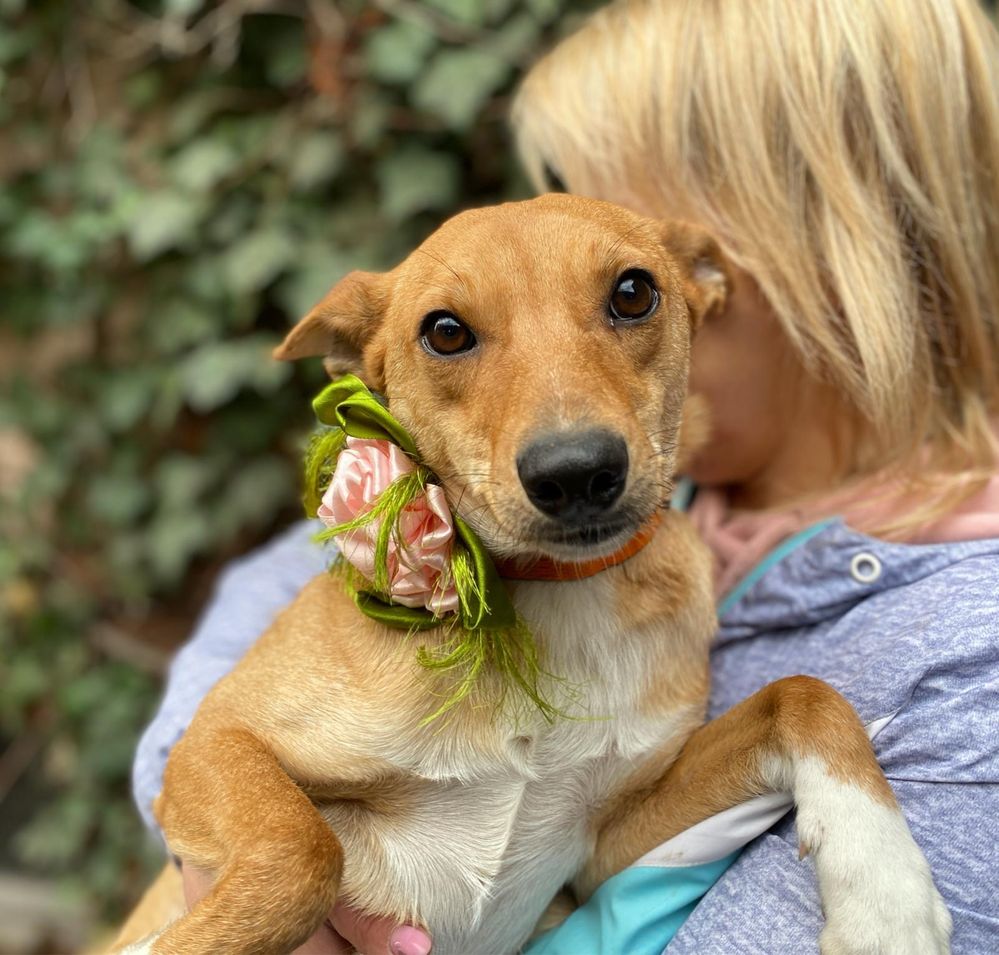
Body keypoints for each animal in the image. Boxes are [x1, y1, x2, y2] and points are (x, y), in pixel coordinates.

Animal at [117, 196, 952, 955]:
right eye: (445, 331)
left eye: (633, 292)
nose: (575, 471)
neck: (555, 598)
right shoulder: (217, 739)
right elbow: (299, 850)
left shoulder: (608, 841)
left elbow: (802, 694)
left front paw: (884, 895)